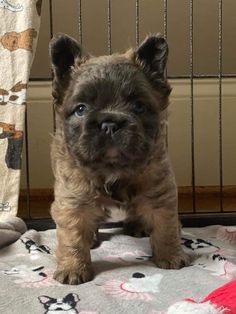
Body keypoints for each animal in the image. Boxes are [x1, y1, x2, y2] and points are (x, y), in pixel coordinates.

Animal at [49, 33, 190, 284]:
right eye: (81, 109)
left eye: (139, 106)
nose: (110, 123)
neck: (113, 169)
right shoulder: (72, 202)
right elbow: (72, 238)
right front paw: (73, 268)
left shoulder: (161, 197)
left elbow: (166, 228)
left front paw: (171, 255)